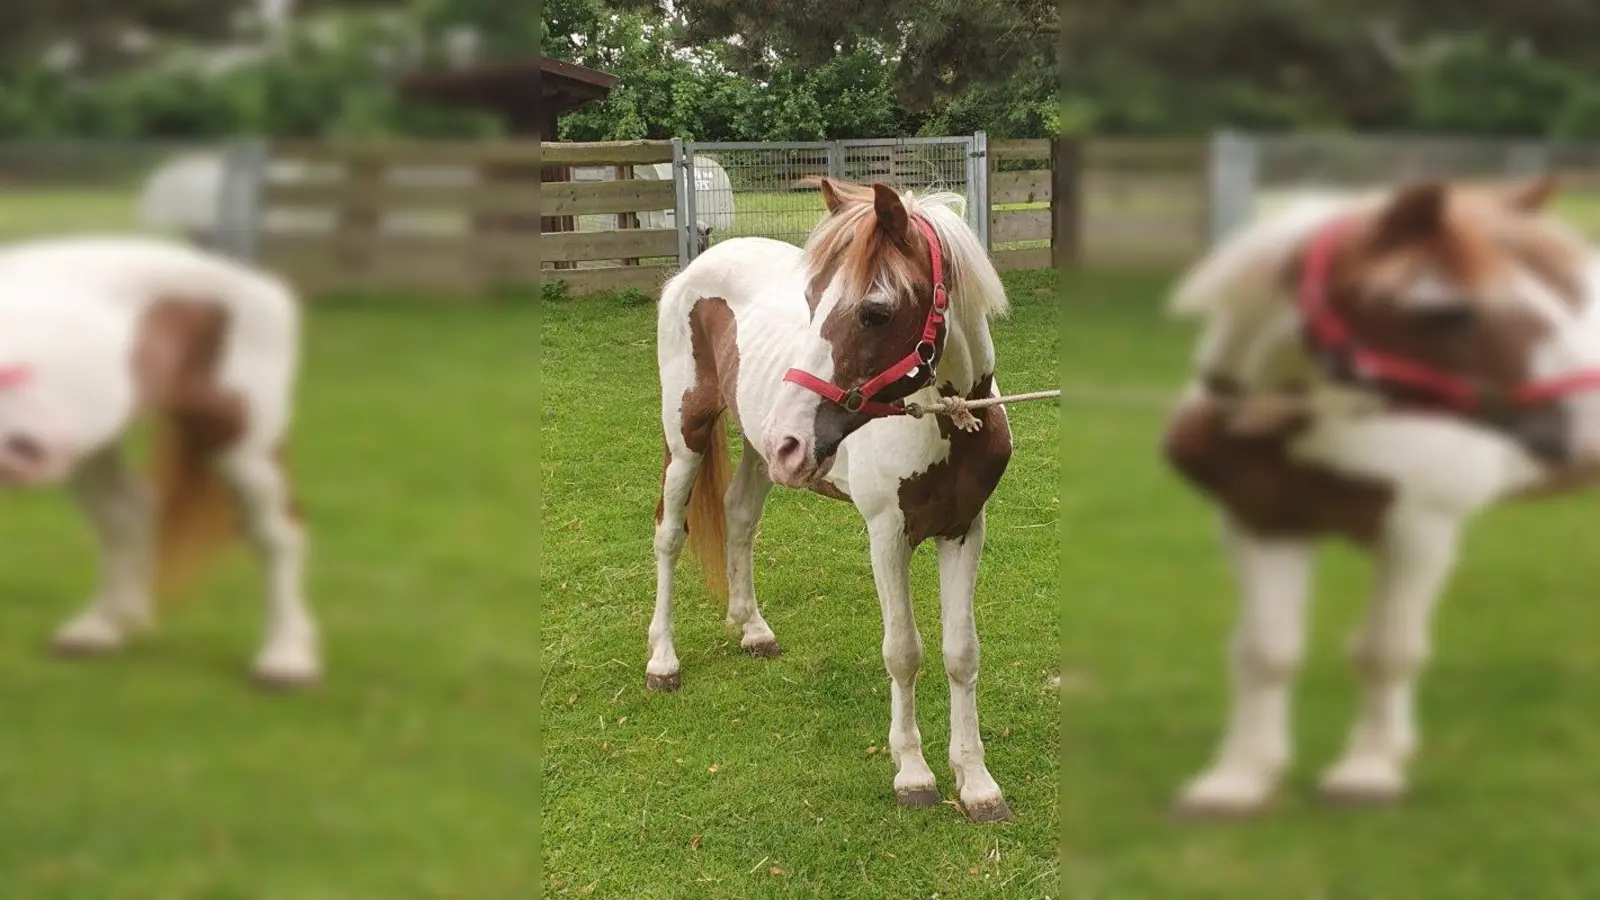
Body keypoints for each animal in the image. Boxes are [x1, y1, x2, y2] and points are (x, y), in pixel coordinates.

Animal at [0, 235, 320, 689]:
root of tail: (260, 283)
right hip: (90, 443)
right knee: (126, 514)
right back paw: (101, 629)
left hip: (244, 444)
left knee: (277, 536)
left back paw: (286, 660)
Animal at [647, 178, 1016, 822]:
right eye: (813, 299)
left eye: (875, 311)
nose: (792, 438)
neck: (946, 421)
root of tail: (692, 269)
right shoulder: (887, 534)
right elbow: (904, 651)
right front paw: (913, 775)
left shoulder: (965, 529)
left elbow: (961, 652)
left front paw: (975, 782)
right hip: (688, 436)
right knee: (669, 535)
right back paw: (663, 661)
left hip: (759, 447)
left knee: (740, 517)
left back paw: (753, 630)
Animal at [1161, 176, 1600, 816]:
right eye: (1446, 310)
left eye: (1556, 293)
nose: (1588, 431)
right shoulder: (1264, 522)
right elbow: (1265, 653)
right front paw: (1239, 779)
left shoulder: (1418, 530)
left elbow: (1386, 651)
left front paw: (1368, 771)